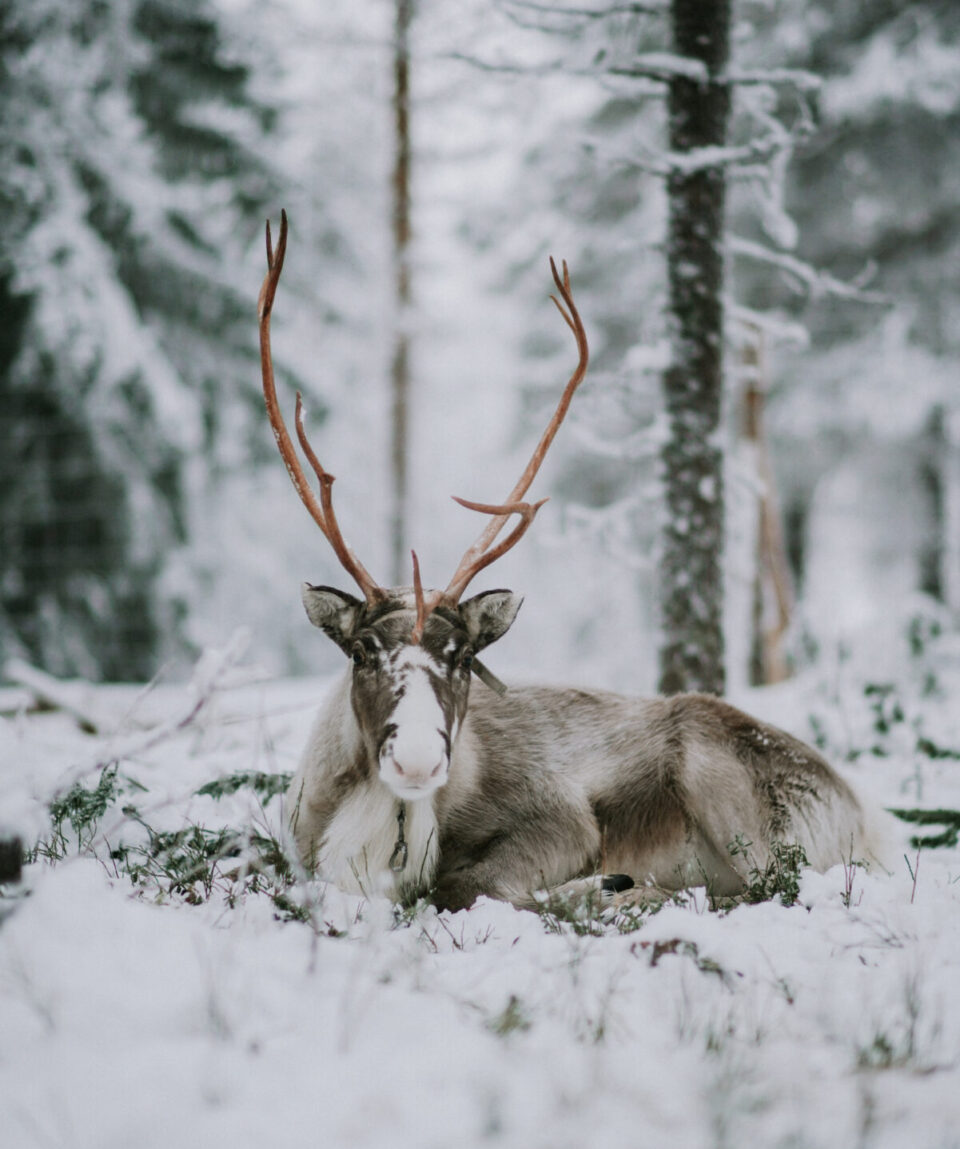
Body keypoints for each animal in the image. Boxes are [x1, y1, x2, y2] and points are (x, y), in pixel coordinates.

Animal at [259, 212, 889, 913]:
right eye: (361, 651)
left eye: (464, 657)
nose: (418, 761)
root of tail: (866, 812)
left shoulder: (562, 818)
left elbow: (465, 883)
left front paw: (601, 884)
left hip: (720, 779)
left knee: (766, 889)